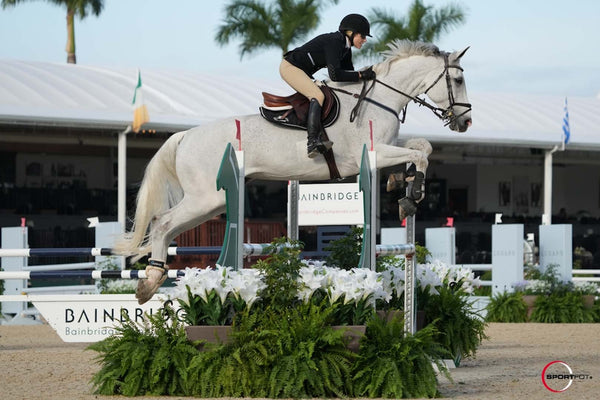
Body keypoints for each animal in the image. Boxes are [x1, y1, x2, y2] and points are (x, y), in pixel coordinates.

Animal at [118, 39, 474, 304]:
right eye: (457, 80)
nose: (466, 122)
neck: (380, 99)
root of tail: (185, 136)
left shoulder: (388, 148)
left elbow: (422, 147)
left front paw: (402, 186)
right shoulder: (375, 153)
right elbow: (420, 154)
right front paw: (411, 195)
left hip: (209, 201)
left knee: (166, 228)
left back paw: (153, 278)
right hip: (206, 198)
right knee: (162, 224)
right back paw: (150, 281)